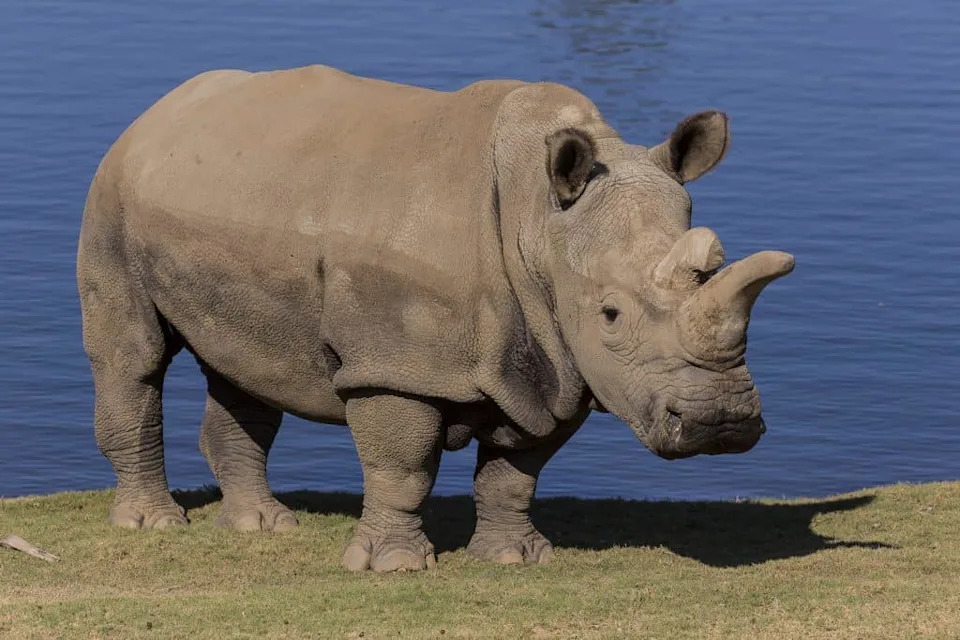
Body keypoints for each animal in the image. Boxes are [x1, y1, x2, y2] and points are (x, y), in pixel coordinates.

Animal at [77, 65, 793, 572]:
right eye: (611, 314)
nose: (722, 424)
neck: (540, 222)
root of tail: (158, 109)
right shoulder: (396, 362)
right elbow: (402, 465)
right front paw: (393, 567)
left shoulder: (556, 357)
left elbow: (516, 470)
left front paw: (514, 558)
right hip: (111, 194)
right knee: (132, 357)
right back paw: (153, 523)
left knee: (248, 368)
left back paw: (260, 526)